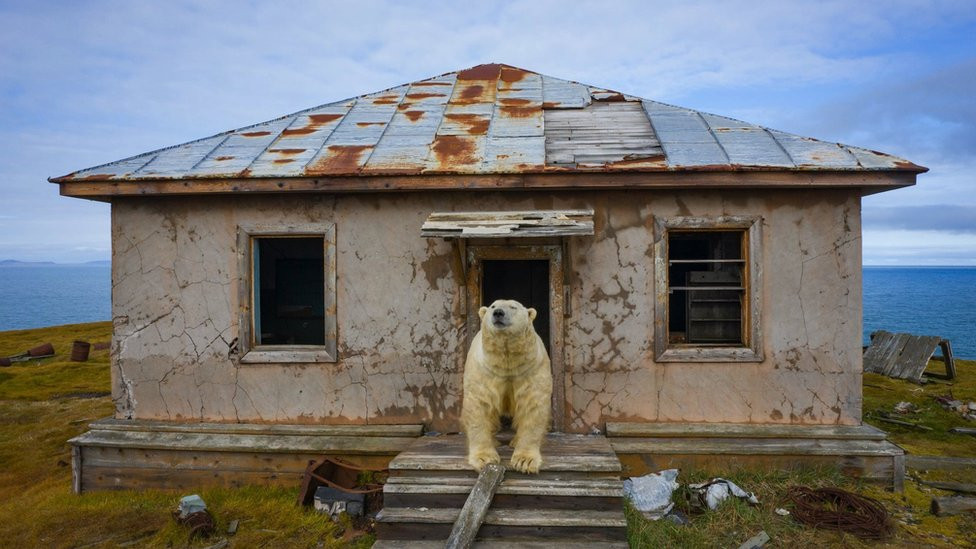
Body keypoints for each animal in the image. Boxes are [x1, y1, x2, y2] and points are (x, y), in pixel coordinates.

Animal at [461, 299, 553, 474]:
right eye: (493, 306)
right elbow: (479, 405)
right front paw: (484, 458)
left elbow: (532, 406)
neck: (506, 362)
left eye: (513, 307)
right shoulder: (484, 370)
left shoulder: (531, 369)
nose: (498, 313)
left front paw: (525, 461)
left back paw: (515, 441)